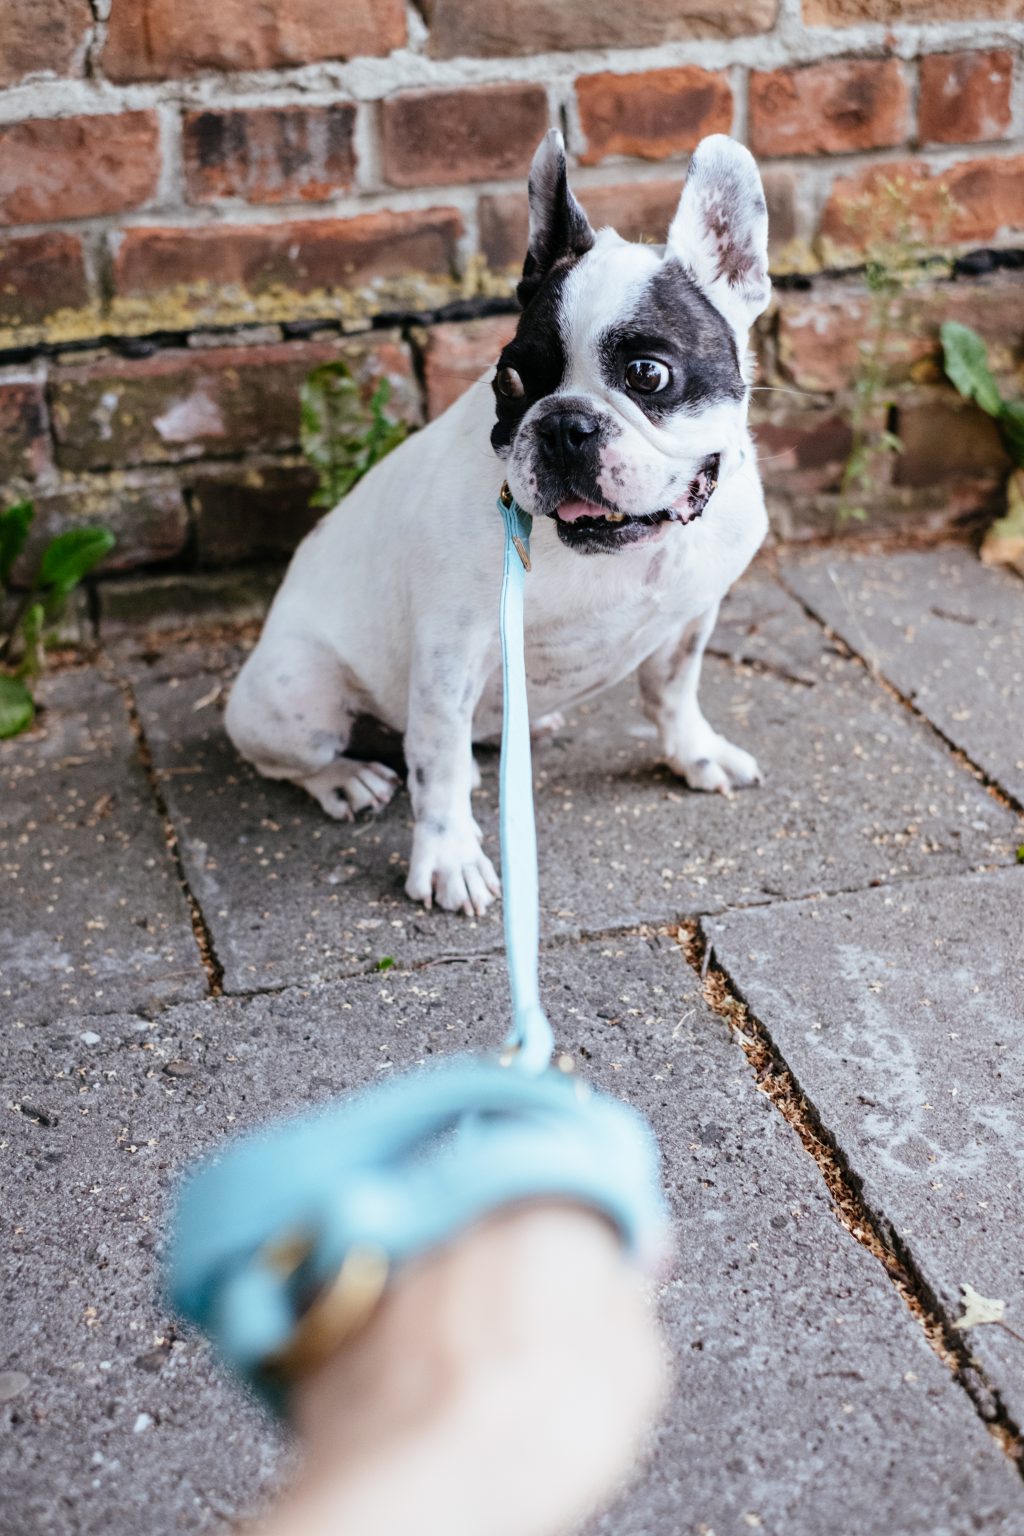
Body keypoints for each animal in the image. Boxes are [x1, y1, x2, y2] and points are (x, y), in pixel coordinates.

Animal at [224, 129, 767, 909]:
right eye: (509, 382)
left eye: (647, 375)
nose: (564, 424)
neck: (613, 552)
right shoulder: (450, 650)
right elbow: (439, 760)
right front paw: (448, 857)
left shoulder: (689, 617)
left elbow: (672, 690)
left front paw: (694, 754)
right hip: (296, 694)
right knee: (306, 758)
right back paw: (345, 779)